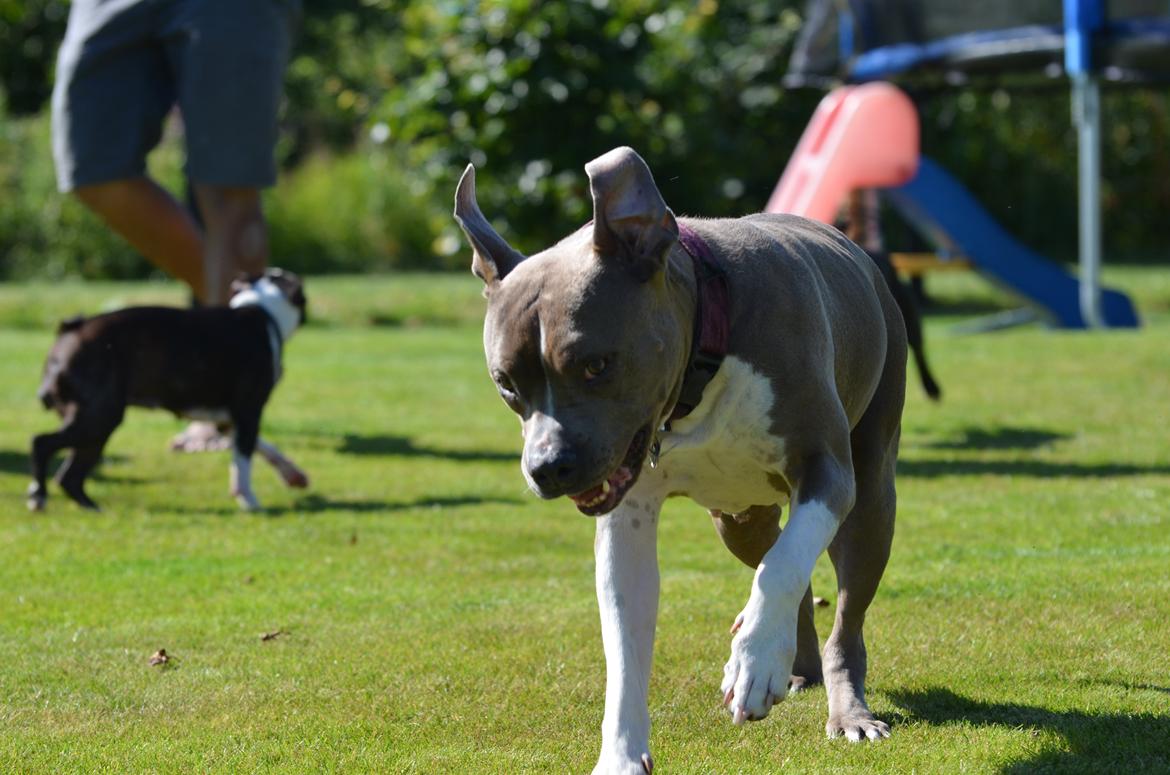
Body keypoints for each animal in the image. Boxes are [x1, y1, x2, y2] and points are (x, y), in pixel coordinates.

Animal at [29, 270, 308, 512]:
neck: (262, 310)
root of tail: (71, 329)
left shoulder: (228, 420)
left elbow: (265, 447)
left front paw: (292, 473)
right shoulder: (249, 411)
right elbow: (243, 459)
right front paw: (248, 500)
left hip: (97, 426)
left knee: (70, 475)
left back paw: (92, 508)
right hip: (99, 417)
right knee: (42, 443)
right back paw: (38, 496)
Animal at [453, 148, 903, 772]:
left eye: (596, 365)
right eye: (506, 384)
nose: (547, 467)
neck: (701, 369)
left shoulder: (827, 471)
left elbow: (783, 567)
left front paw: (753, 659)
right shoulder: (627, 521)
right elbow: (625, 642)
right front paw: (621, 755)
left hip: (871, 500)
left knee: (842, 610)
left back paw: (844, 707)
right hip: (738, 520)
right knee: (778, 561)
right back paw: (794, 667)